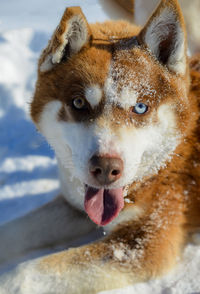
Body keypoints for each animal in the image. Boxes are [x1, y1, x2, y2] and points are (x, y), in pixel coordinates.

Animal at [0, 0, 200, 292]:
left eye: (140, 107)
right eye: (79, 103)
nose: (106, 169)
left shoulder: (141, 244)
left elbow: (24, 274)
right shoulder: (74, 206)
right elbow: (14, 231)